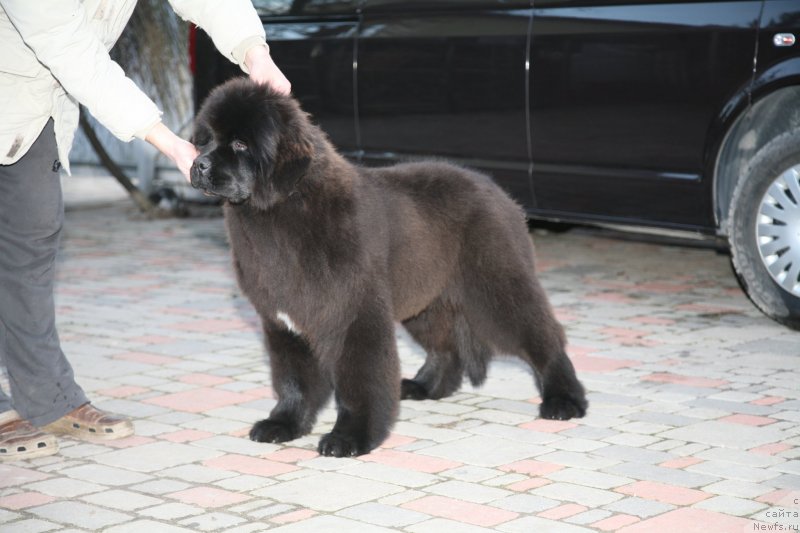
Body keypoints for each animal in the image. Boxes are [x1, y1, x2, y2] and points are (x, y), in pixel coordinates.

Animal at [191, 77, 584, 456]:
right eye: (204, 141)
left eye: (240, 144)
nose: (199, 165)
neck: (280, 212)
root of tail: (497, 191)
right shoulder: (283, 321)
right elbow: (293, 380)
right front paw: (283, 424)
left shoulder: (354, 313)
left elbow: (359, 379)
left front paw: (350, 438)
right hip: (426, 299)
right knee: (446, 347)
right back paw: (424, 386)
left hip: (495, 285)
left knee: (543, 336)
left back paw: (564, 401)